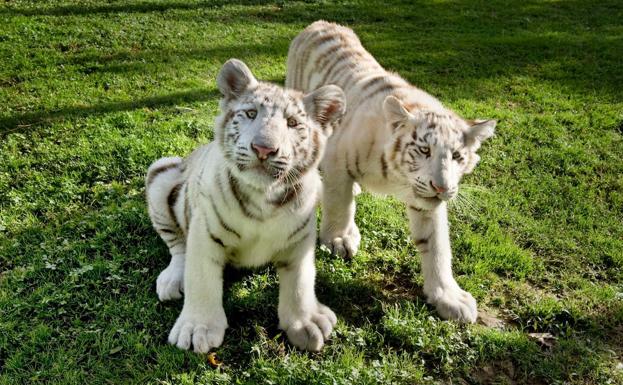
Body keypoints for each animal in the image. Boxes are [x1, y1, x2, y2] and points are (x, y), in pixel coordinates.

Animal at [147, 58, 346, 350]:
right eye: (251, 113)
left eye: (292, 123)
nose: (264, 149)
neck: (263, 197)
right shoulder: (204, 231)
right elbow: (201, 278)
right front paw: (197, 329)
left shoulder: (301, 238)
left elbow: (301, 281)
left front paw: (306, 322)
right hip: (161, 172)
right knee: (178, 247)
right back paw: (172, 280)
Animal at [286, 20, 498, 320]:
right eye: (424, 150)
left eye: (457, 156)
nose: (441, 188)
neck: (397, 177)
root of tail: (318, 23)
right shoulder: (338, 160)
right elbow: (339, 205)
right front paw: (338, 239)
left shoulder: (426, 201)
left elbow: (437, 247)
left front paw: (449, 297)